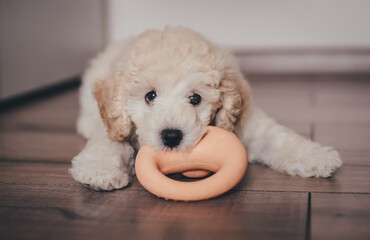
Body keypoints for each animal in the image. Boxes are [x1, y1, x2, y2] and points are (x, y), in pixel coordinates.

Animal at [68, 26, 342, 191]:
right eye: (150, 96)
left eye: (195, 98)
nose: (171, 136)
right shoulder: (115, 123)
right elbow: (106, 143)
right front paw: (98, 171)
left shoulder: (248, 122)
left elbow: (279, 138)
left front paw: (318, 157)